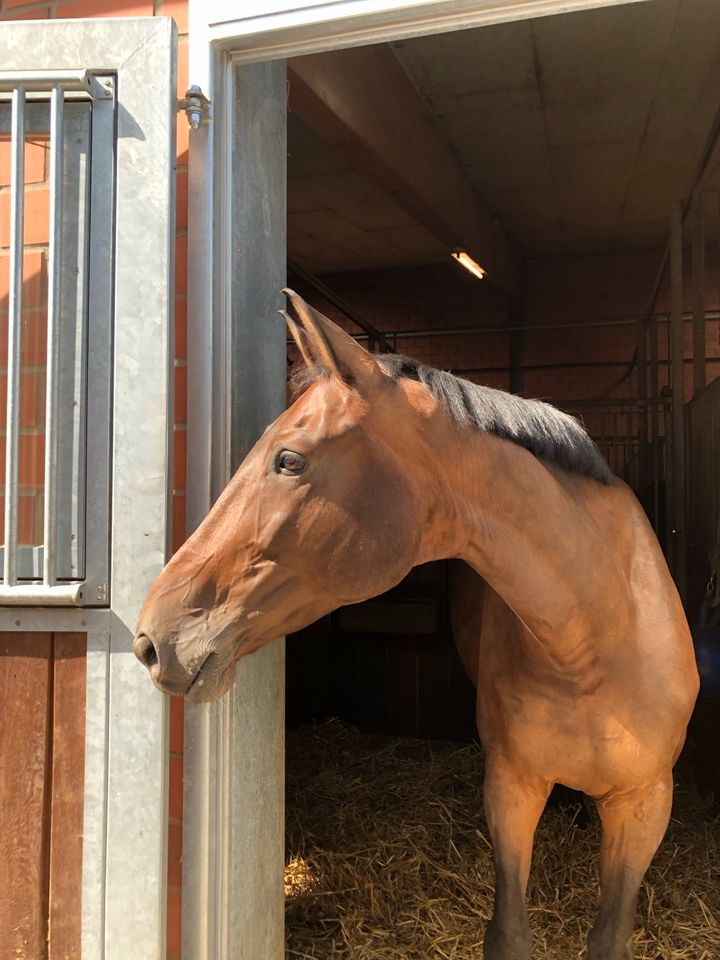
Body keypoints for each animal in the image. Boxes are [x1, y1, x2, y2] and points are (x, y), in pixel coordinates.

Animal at [134, 288, 696, 956]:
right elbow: (509, 933)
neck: (595, 646)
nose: (152, 638)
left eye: (289, 459)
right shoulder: (510, 788)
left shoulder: (645, 805)